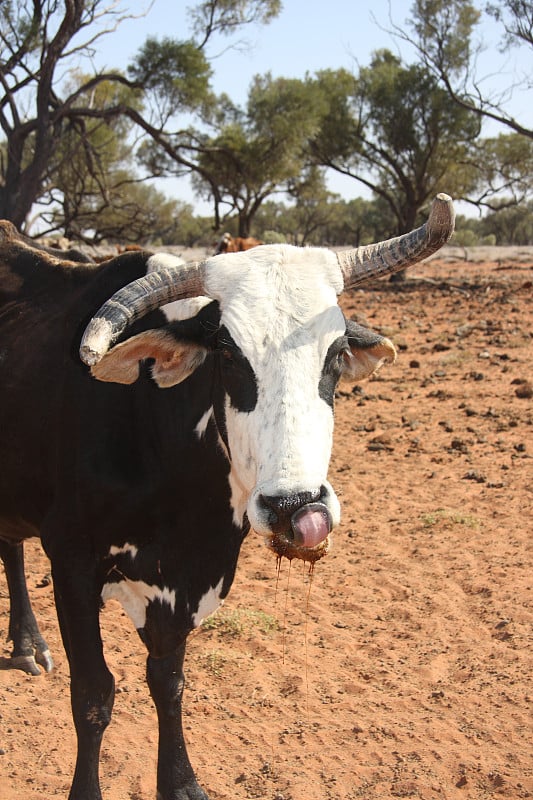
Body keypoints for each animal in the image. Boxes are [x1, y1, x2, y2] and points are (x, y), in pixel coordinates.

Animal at [0, 195, 456, 800]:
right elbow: (94, 695)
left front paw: (180, 782)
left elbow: (168, 681)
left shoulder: (187, 582)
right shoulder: (72, 561)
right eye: (229, 354)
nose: (297, 510)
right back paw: (29, 643)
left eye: (335, 354)